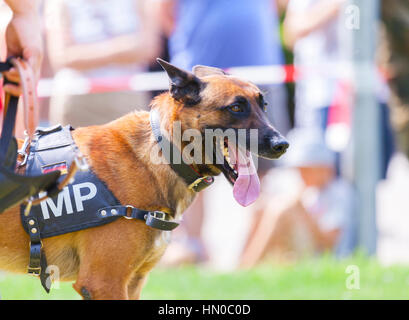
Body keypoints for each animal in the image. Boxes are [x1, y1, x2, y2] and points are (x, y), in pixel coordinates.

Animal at [0, 58, 286, 300]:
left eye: (264, 106)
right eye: (236, 107)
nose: (282, 145)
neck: (161, 151)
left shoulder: (132, 282)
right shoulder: (105, 283)